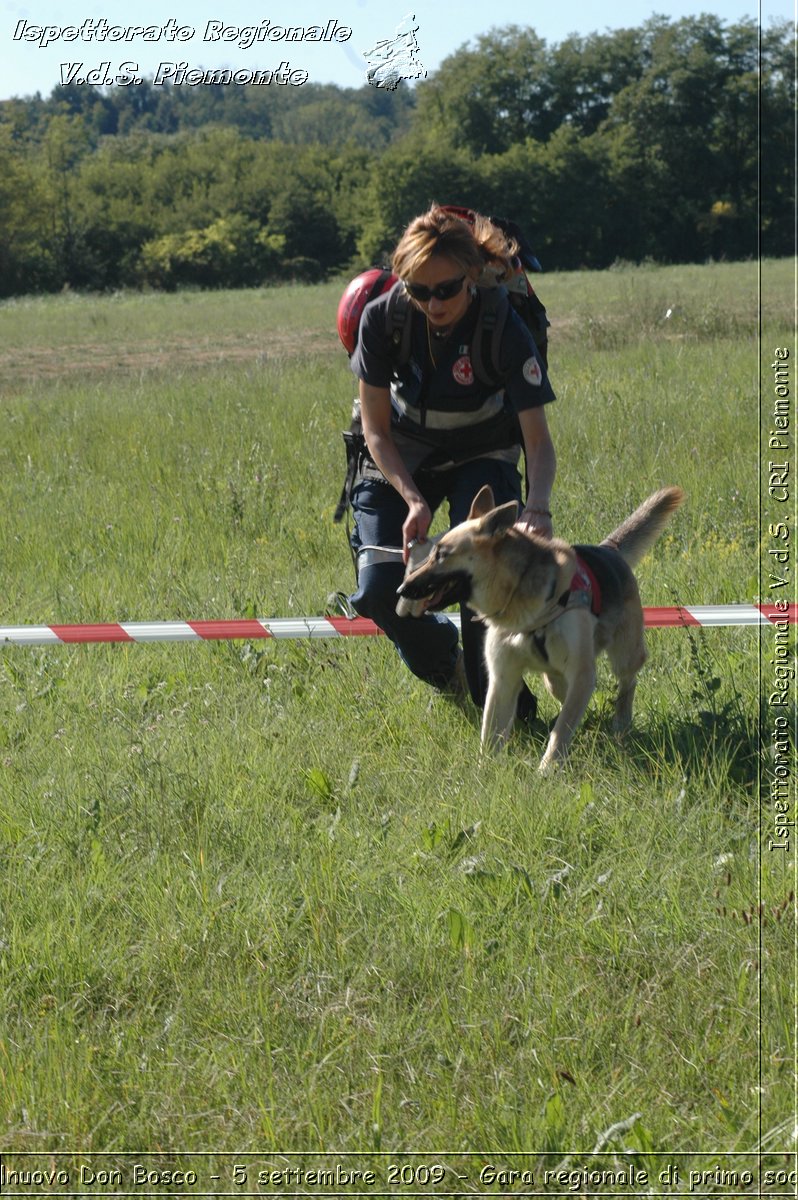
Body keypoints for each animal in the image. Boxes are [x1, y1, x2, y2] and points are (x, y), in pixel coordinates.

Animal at [396, 484, 681, 772]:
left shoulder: (581, 671)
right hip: (554, 678)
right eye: (431, 553)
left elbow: (561, 729)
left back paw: (621, 723)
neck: (518, 596)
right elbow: (490, 733)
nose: (401, 589)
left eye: (442, 555)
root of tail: (609, 549)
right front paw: (483, 773)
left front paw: (548, 769)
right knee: (570, 696)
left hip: (623, 657)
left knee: (626, 683)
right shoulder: (503, 679)